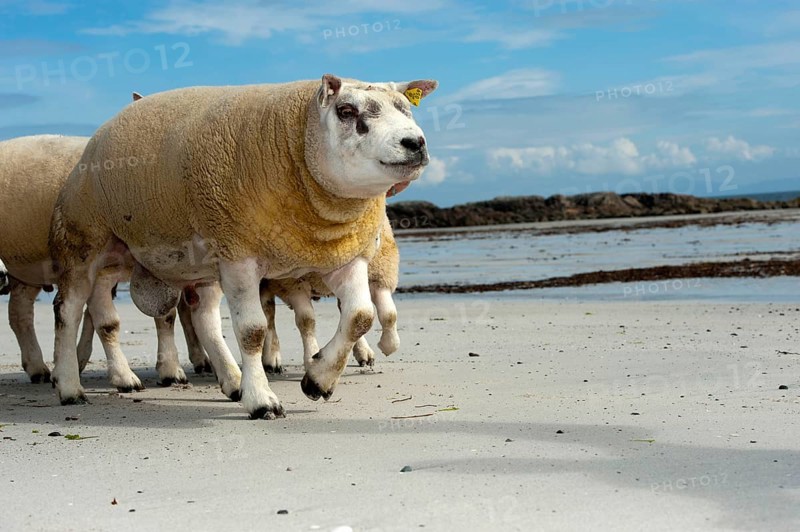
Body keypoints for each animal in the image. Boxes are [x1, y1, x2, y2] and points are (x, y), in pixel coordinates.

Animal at [0, 135, 207, 387]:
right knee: (21, 314)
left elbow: (167, 314)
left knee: (19, 313)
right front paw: (163, 372)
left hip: (27, 271)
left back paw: (37, 367)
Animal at [259, 215, 399, 372]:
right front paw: (311, 357)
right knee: (268, 312)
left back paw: (363, 351)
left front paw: (388, 345)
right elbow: (306, 320)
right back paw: (271, 357)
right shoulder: (293, 284)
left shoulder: (378, 272)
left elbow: (388, 314)